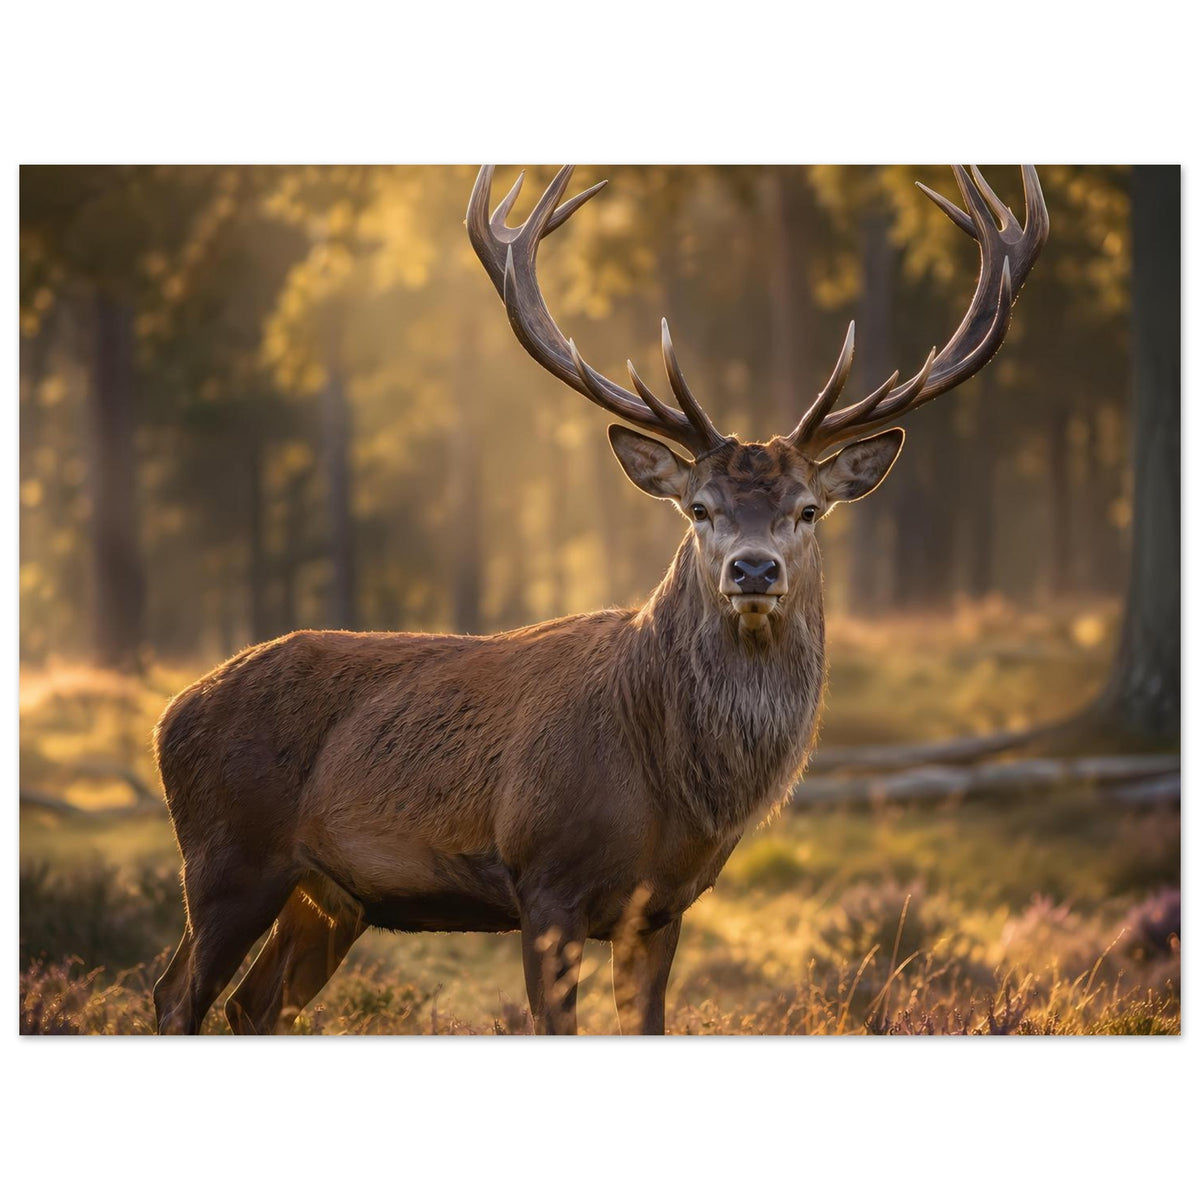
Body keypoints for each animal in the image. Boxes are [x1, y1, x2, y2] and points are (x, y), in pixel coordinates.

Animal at [152, 164, 1048, 1035]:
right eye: (699, 508)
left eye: (807, 509)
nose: (753, 571)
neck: (668, 789)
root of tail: (171, 713)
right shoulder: (544, 879)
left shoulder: (663, 907)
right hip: (227, 857)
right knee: (176, 993)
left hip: (331, 894)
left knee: (253, 1005)